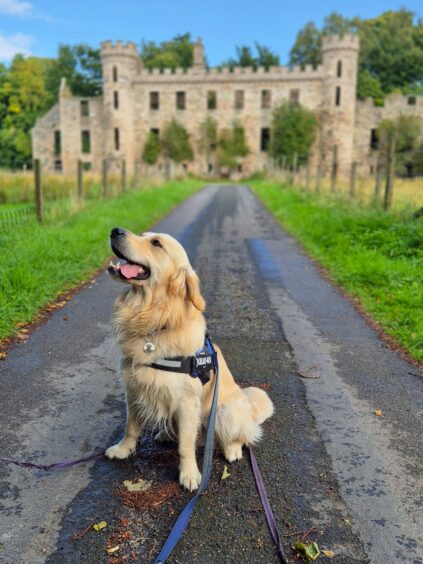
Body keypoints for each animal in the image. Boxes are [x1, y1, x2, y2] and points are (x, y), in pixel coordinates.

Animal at [106, 227, 274, 492]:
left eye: (156, 243)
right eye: (143, 235)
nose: (115, 230)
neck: (155, 319)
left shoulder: (186, 402)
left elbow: (186, 445)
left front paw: (190, 474)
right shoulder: (133, 389)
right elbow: (131, 427)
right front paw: (123, 450)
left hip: (225, 410)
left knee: (239, 437)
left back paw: (232, 449)